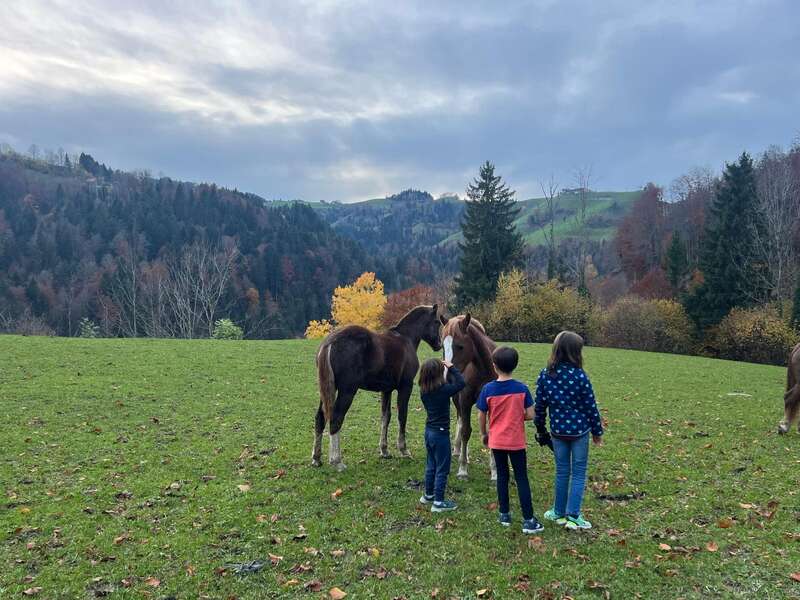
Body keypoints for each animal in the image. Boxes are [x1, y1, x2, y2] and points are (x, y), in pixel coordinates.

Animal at [312, 305, 442, 471]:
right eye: (437, 322)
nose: (439, 345)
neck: (405, 339)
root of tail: (330, 342)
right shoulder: (405, 387)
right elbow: (402, 416)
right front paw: (403, 450)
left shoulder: (386, 390)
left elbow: (385, 417)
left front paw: (384, 450)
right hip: (347, 391)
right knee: (335, 419)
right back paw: (337, 461)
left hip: (328, 391)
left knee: (320, 418)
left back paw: (316, 458)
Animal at [440, 313, 498, 480]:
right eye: (443, 347)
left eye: (460, 346)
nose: (448, 379)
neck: (483, 369)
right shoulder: (464, 401)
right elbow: (465, 430)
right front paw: (462, 469)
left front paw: (495, 471)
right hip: (457, 400)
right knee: (460, 422)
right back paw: (459, 451)